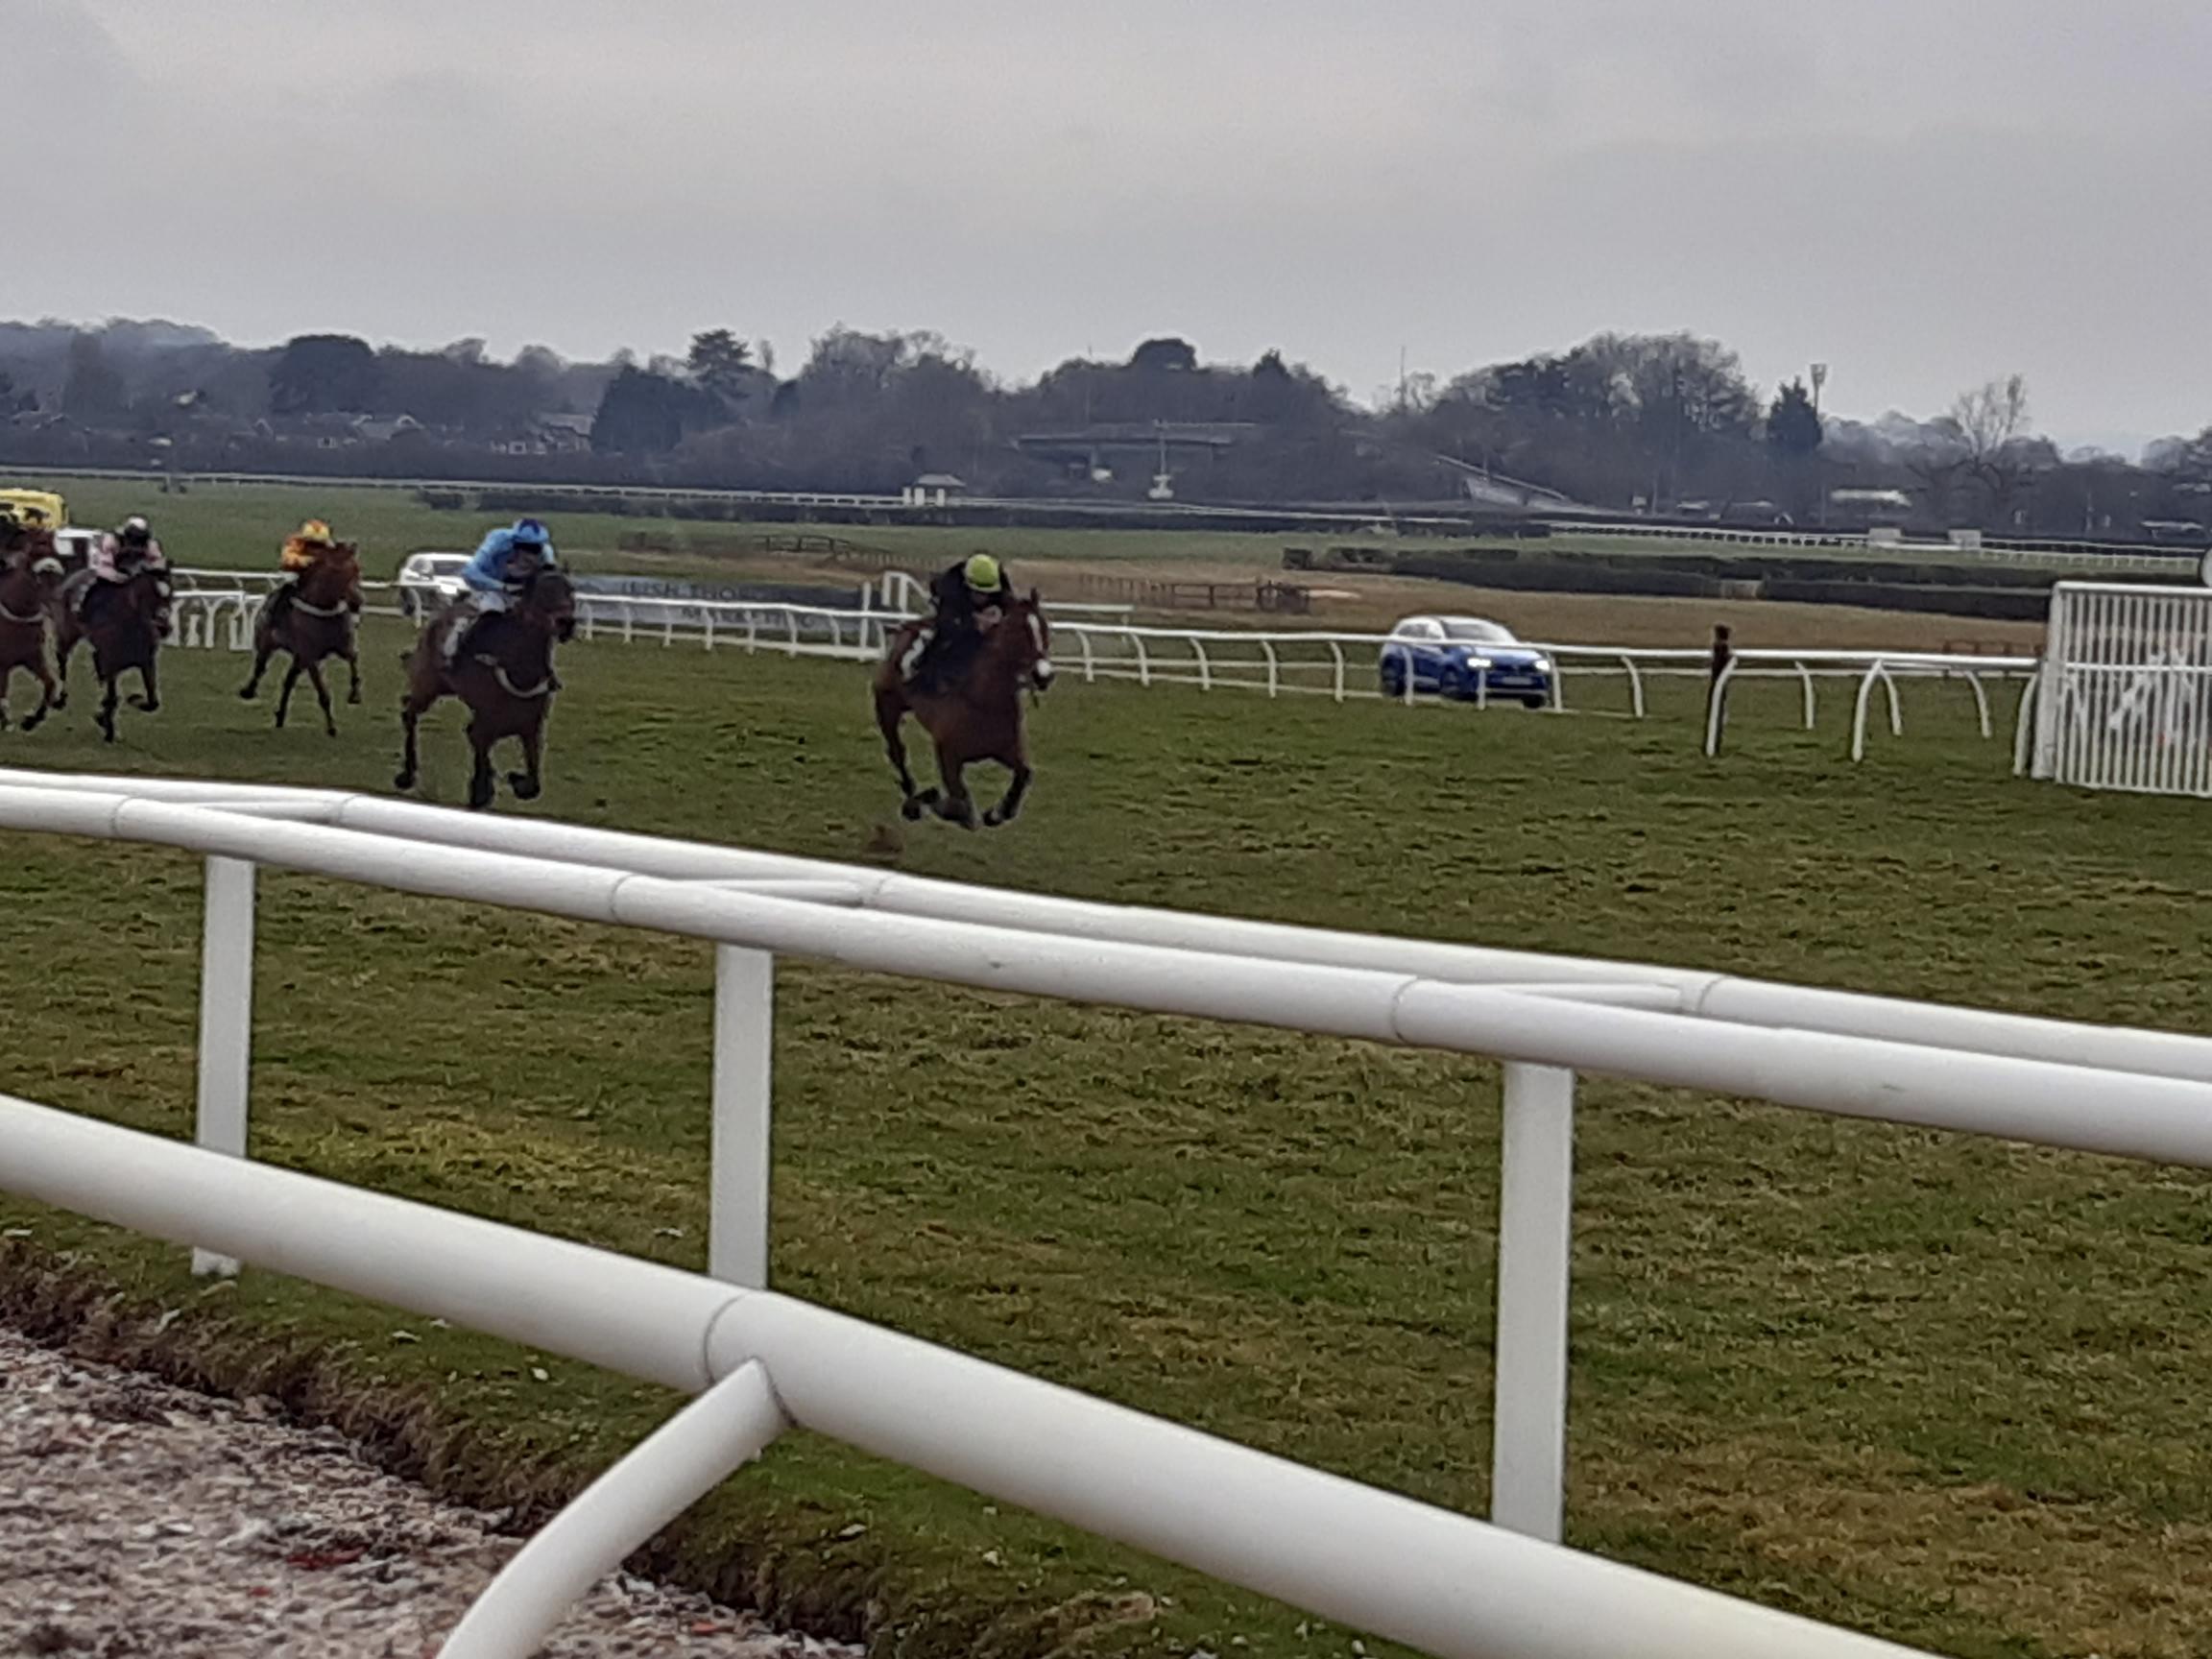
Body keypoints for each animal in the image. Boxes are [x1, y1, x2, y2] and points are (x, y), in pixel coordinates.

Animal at [0, 533, 63, 733]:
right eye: (34, 554)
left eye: (56, 555)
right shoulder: (2, 665)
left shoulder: (33, 657)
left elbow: (50, 683)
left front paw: (32, 720)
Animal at [51, 565, 170, 738]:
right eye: (150, 592)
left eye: (170, 594)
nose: (164, 627)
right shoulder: (111, 665)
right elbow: (113, 698)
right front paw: (107, 725)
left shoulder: (147, 662)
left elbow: (153, 702)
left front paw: (131, 701)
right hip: (67, 634)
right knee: (63, 662)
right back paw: (61, 698)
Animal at [239, 541, 365, 738]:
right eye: (338, 572)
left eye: (356, 569)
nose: (358, 601)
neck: (324, 609)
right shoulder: (310, 656)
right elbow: (323, 694)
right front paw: (331, 727)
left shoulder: (344, 646)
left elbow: (354, 661)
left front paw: (355, 695)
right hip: (267, 643)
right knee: (261, 667)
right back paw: (249, 691)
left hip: (298, 658)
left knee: (288, 680)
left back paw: (280, 715)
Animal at [396, 565, 575, 813]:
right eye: (544, 593)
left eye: (570, 590)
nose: (566, 623)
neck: (519, 668)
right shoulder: (488, 720)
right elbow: (479, 744)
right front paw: (483, 789)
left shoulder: (531, 726)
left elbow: (533, 784)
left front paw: (514, 779)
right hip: (427, 685)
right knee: (409, 713)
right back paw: (407, 774)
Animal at [871, 592, 1052, 831]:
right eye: (1017, 631)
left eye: (1045, 629)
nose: (1044, 676)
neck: (985, 700)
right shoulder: (948, 753)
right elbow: (958, 805)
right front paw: (933, 799)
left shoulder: (1007, 749)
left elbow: (1025, 773)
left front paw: (997, 813)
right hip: (887, 704)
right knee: (898, 753)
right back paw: (913, 802)